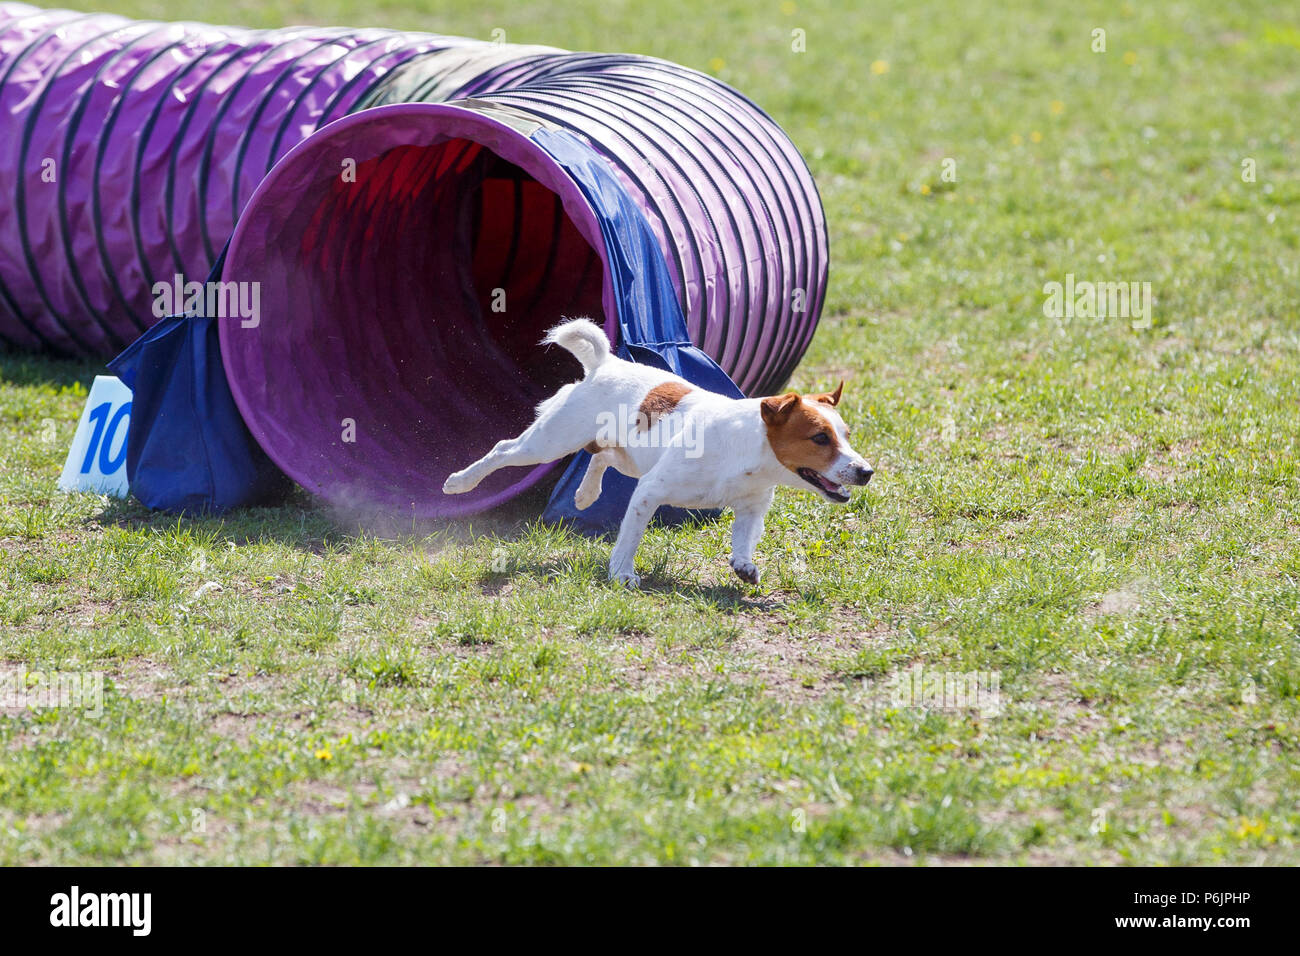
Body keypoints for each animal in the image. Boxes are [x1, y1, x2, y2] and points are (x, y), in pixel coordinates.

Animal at [441, 319, 878, 582]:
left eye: (846, 434)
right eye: (820, 438)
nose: (866, 472)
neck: (748, 453)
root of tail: (605, 364)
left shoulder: (752, 507)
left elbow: (744, 538)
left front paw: (743, 565)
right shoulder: (649, 491)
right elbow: (630, 537)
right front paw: (622, 574)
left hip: (628, 456)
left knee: (600, 457)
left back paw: (585, 495)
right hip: (550, 441)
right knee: (504, 450)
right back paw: (460, 482)